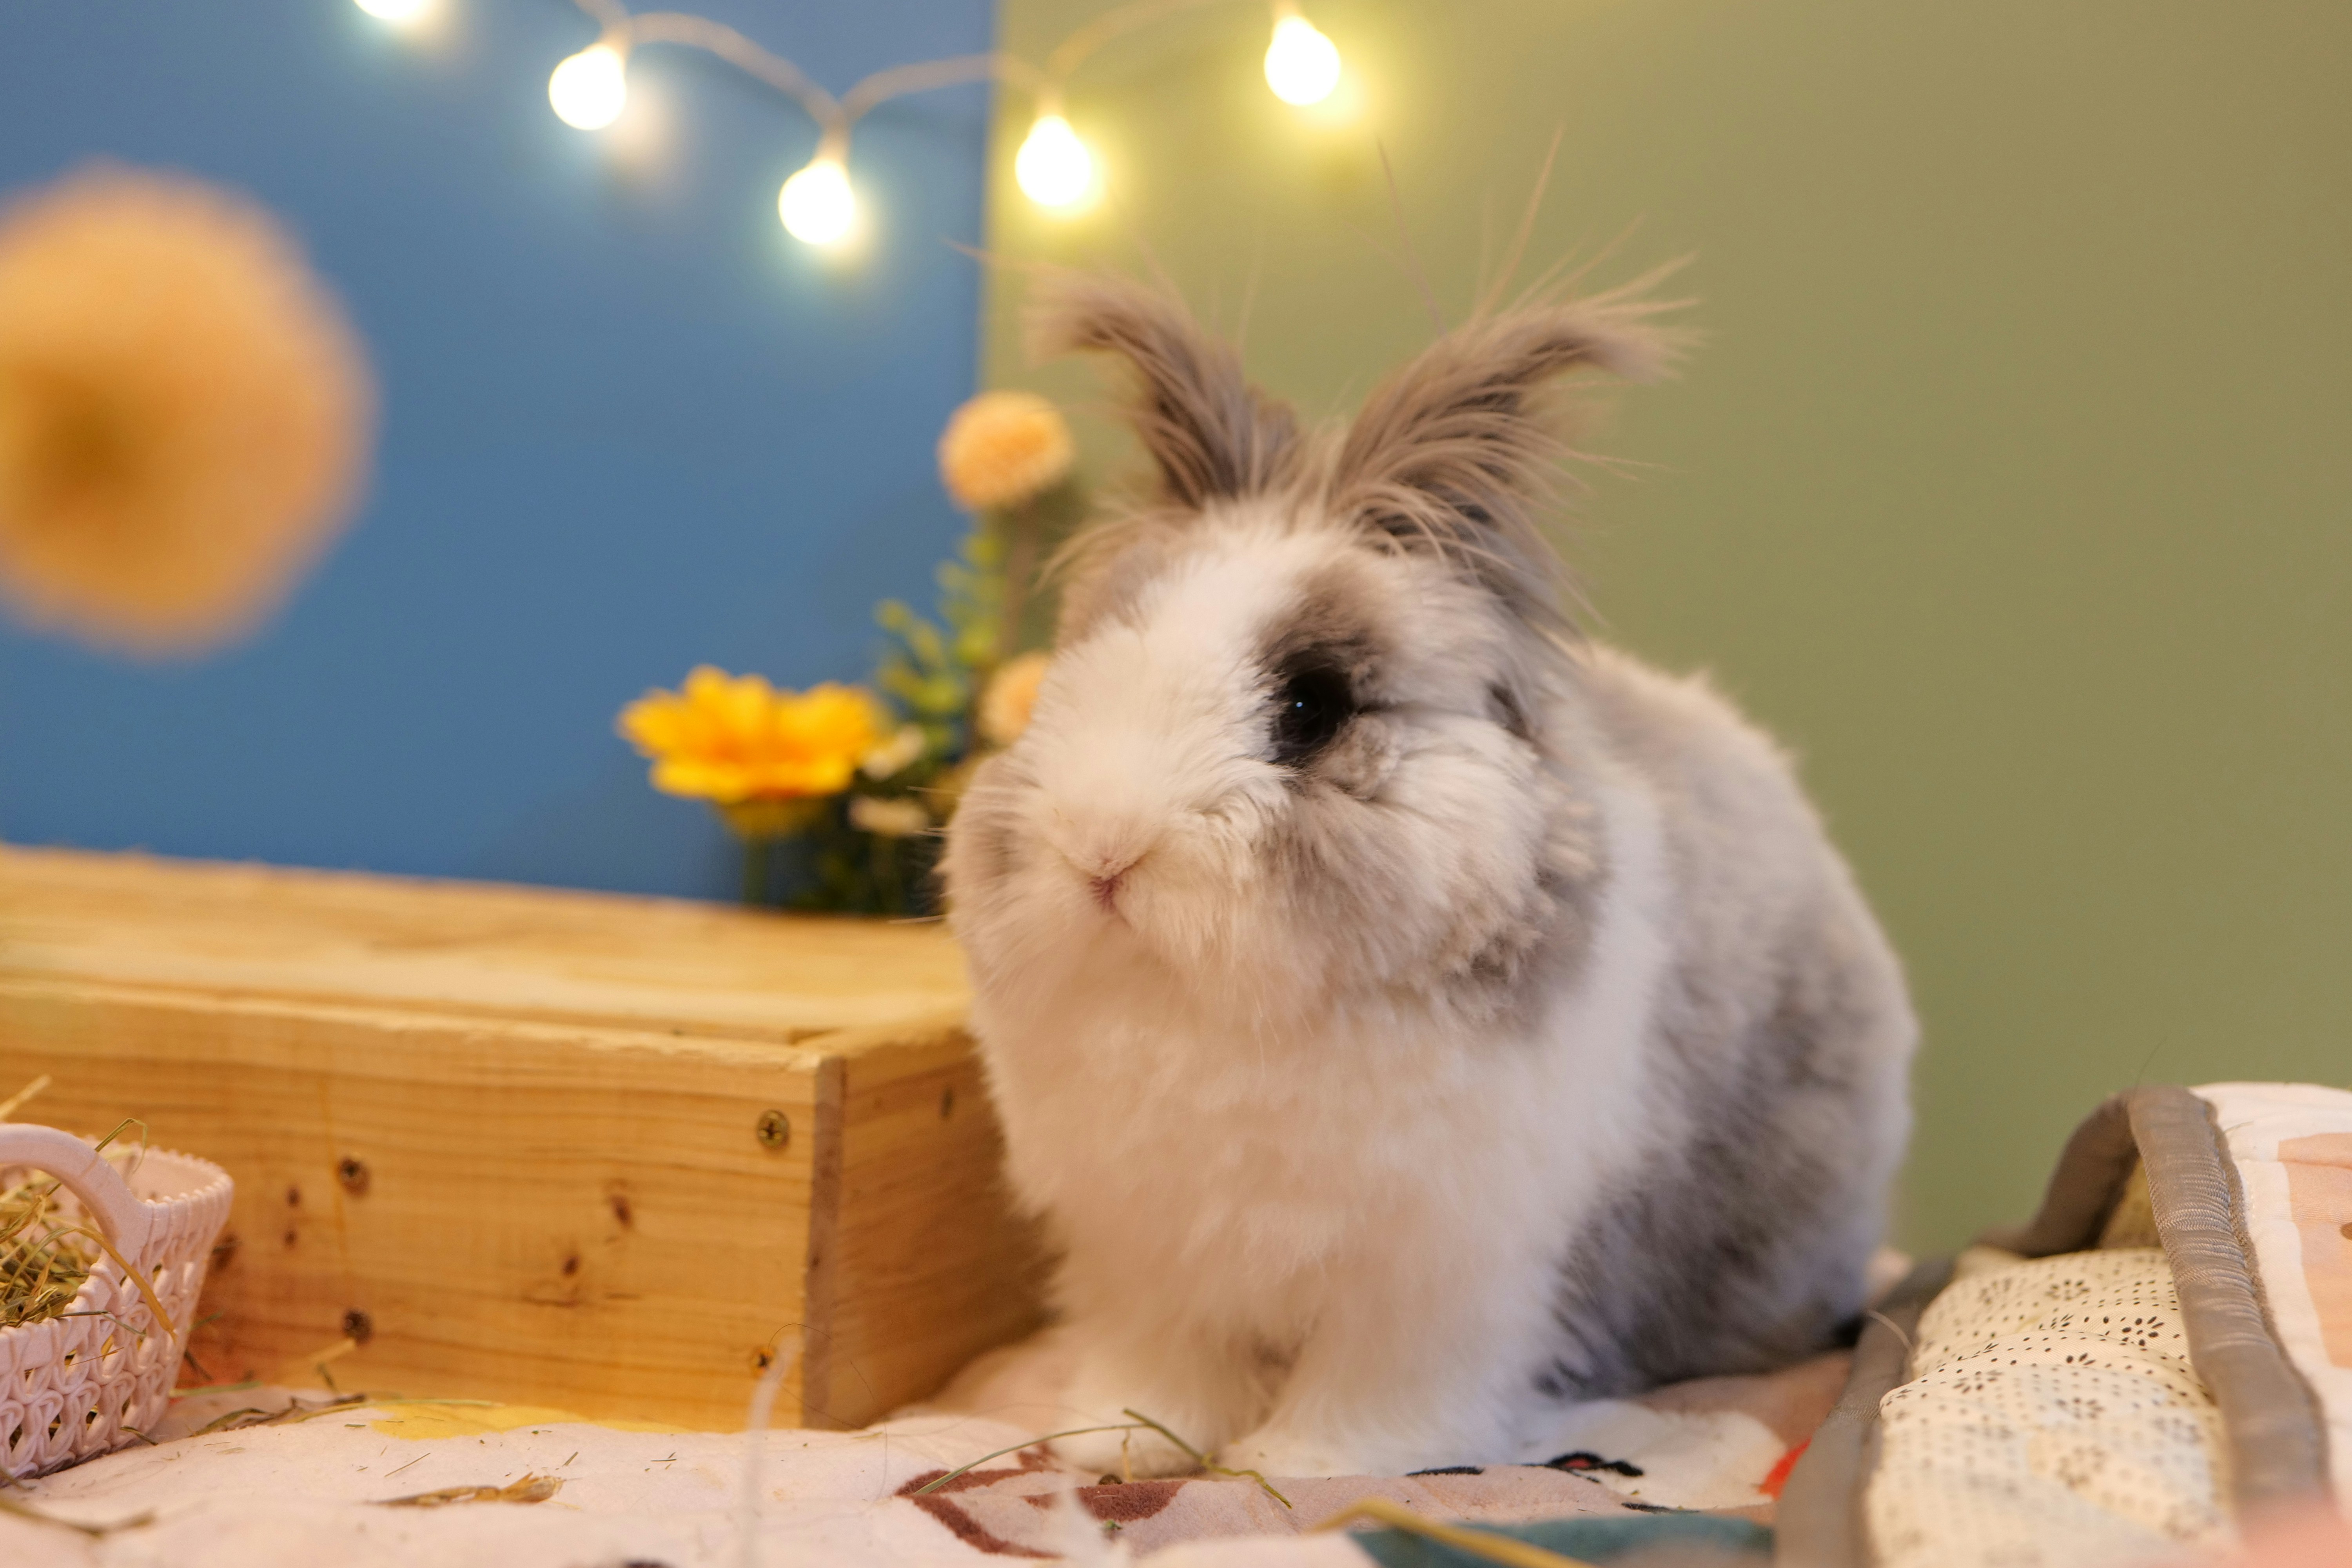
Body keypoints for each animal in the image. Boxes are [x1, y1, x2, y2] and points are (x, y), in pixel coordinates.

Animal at [940, 272, 1916, 1481]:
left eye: (1310, 705)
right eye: (1068, 675)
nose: (1103, 849)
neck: (1220, 1017)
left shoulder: (1439, 1273)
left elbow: (1378, 1386)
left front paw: (1305, 1465)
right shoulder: (1151, 1254)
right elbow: (1165, 1362)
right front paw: (1118, 1446)